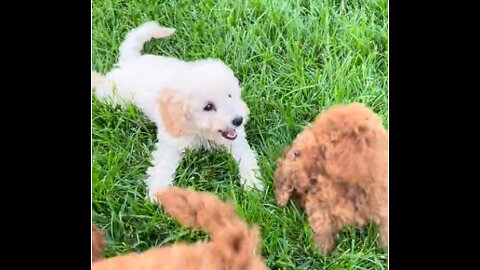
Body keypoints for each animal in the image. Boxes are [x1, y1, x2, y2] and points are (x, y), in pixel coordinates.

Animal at [92, 21, 264, 200]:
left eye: (229, 95)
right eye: (208, 107)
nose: (239, 120)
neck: (198, 131)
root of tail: (131, 60)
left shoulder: (236, 140)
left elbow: (246, 158)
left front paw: (253, 185)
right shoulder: (170, 143)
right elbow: (162, 166)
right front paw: (158, 194)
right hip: (115, 96)